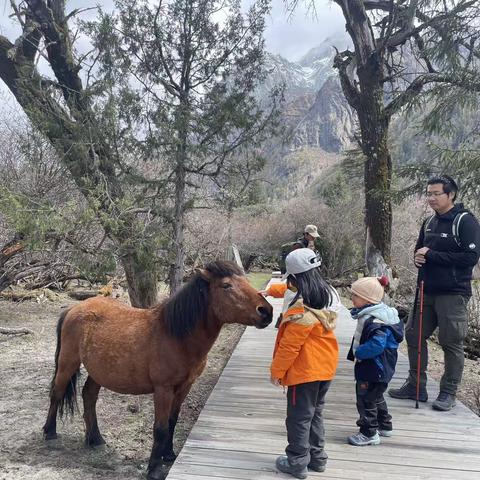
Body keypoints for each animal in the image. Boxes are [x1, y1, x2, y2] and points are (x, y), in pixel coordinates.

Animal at [43, 260, 272, 478]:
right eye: (226, 285)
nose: (266, 311)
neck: (176, 335)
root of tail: (74, 308)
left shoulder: (184, 387)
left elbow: (172, 421)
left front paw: (168, 454)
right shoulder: (163, 389)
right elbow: (160, 428)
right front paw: (154, 468)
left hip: (98, 372)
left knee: (89, 396)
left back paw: (95, 439)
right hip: (67, 363)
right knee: (57, 393)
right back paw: (49, 433)